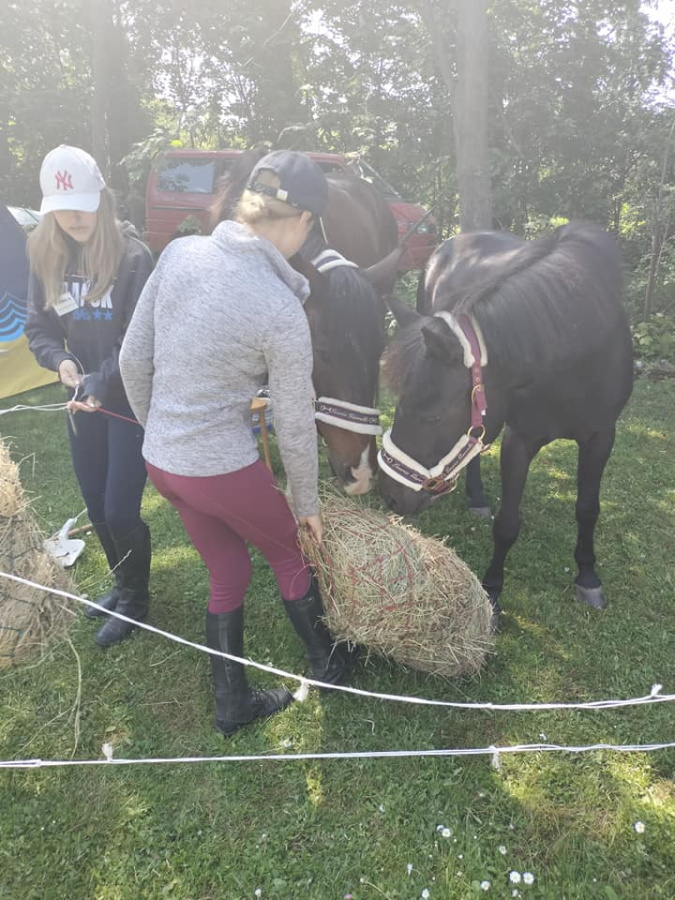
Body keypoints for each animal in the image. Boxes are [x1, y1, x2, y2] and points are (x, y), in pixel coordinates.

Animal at [379, 221, 634, 618]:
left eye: (432, 416)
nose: (390, 497)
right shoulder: (520, 440)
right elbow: (507, 524)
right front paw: (493, 594)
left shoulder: (601, 436)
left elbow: (588, 509)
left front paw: (588, 577)